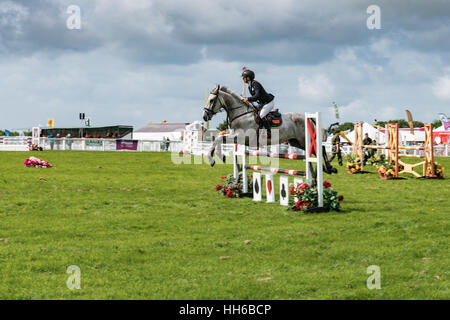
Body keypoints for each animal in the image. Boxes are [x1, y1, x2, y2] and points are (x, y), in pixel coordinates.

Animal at [202, 85, 336, 174]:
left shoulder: (241, 137)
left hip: (304, 140)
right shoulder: (235, 137)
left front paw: (217, 158)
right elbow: (218, 138)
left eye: (212, 100)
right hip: (297, 142)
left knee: (321, 149)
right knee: (316, 151)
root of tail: (308, 117)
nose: (205, 116)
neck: (241, 114)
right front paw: (214, 158)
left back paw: (330, 168)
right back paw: (323, 171)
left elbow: (219, 138)